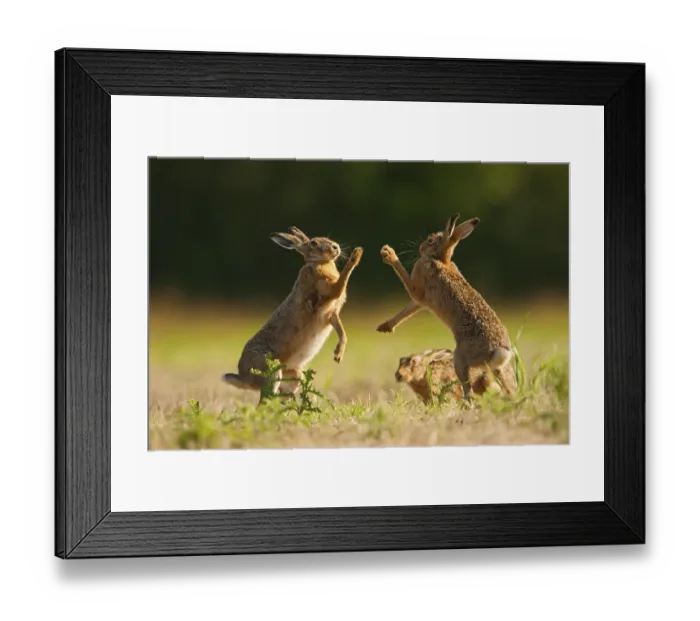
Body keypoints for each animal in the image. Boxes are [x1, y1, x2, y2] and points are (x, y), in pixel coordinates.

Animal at [223, 226, 363, 401]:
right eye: (314, 243)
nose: (335, 247)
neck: (317, 263)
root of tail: (244, 377)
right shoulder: (329, 290)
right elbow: (342, 279)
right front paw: (356, 255)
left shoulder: (331, 315)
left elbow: (342, 332)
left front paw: (338, 355)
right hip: (271, 373)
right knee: (265, 401)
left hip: (293, 375)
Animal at [378, 214, 516, 398]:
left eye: (430, 240)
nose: (421, 248)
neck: (440, 259)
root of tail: (497, 352)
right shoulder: (422, 301)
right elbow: (408, 310)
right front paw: (385, 327)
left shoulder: (418, 287)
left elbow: (408, 285)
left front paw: (389, 254)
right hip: (495, 369)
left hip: (460, 359)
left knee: (468, 392)